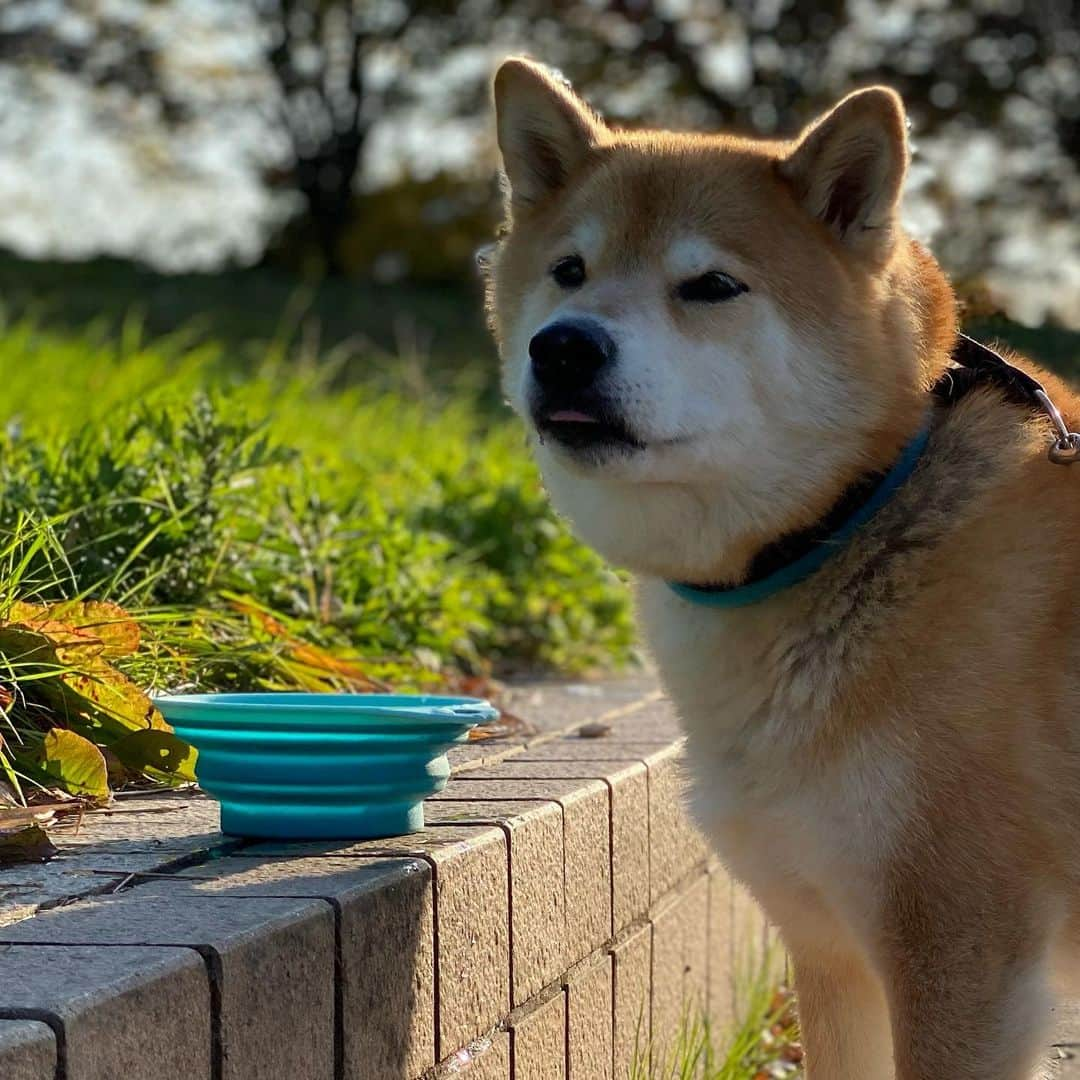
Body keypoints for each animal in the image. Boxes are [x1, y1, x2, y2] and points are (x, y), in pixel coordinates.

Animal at [488, 56, 1080, 1080]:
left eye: (712, 285)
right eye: (570, 270)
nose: (563, 344)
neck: (851, 518)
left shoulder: (963, 952)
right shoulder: (831, 944)